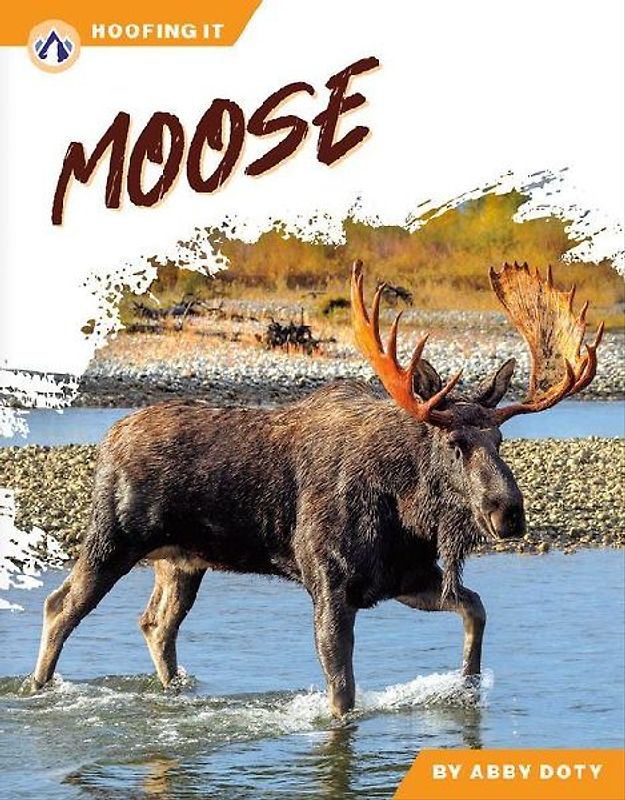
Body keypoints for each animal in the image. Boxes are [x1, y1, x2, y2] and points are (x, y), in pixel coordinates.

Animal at [30, 261, 603, 718]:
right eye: (454, 443)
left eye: (500, 439)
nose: (509, 511)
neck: (406, 509)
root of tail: (108, 438)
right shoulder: (330, 584)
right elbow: (341, 695)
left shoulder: (404, 578)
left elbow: (476, 609)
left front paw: (466, 684)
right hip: (113, 538)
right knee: (61, 605)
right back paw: (37, 689)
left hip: (183, 561)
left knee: (156, 625)